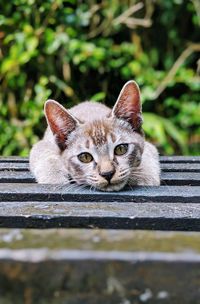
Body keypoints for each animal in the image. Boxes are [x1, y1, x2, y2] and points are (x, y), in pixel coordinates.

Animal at [29, 81, 160, 190]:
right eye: (85, 157)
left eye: (121, 149)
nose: (107, 174)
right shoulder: (42, 146)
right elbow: (48, 159)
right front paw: (56, 180)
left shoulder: (149, 147)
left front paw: (143, 177)